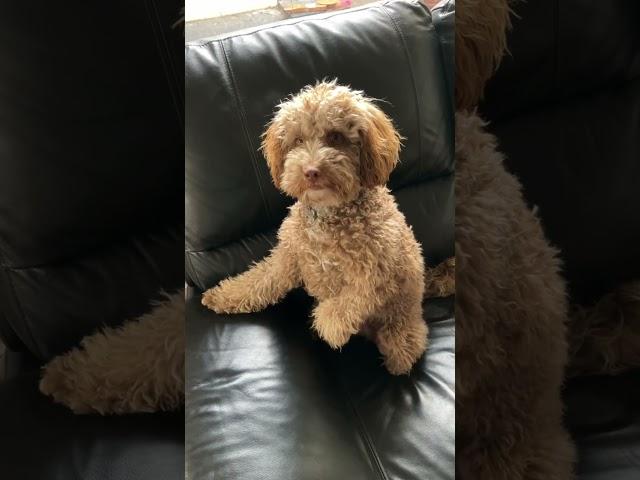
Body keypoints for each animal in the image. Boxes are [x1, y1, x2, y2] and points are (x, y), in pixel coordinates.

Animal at [202, 80, 452, 376]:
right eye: (298, 140)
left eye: (335, 137)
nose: (310, 171)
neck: (328, 216)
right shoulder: (288, 258)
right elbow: (258, 281)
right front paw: (222, 296)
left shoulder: (377, 275)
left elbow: (346, 305)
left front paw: (327, 326)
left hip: (402, 324)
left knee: (402, 347)